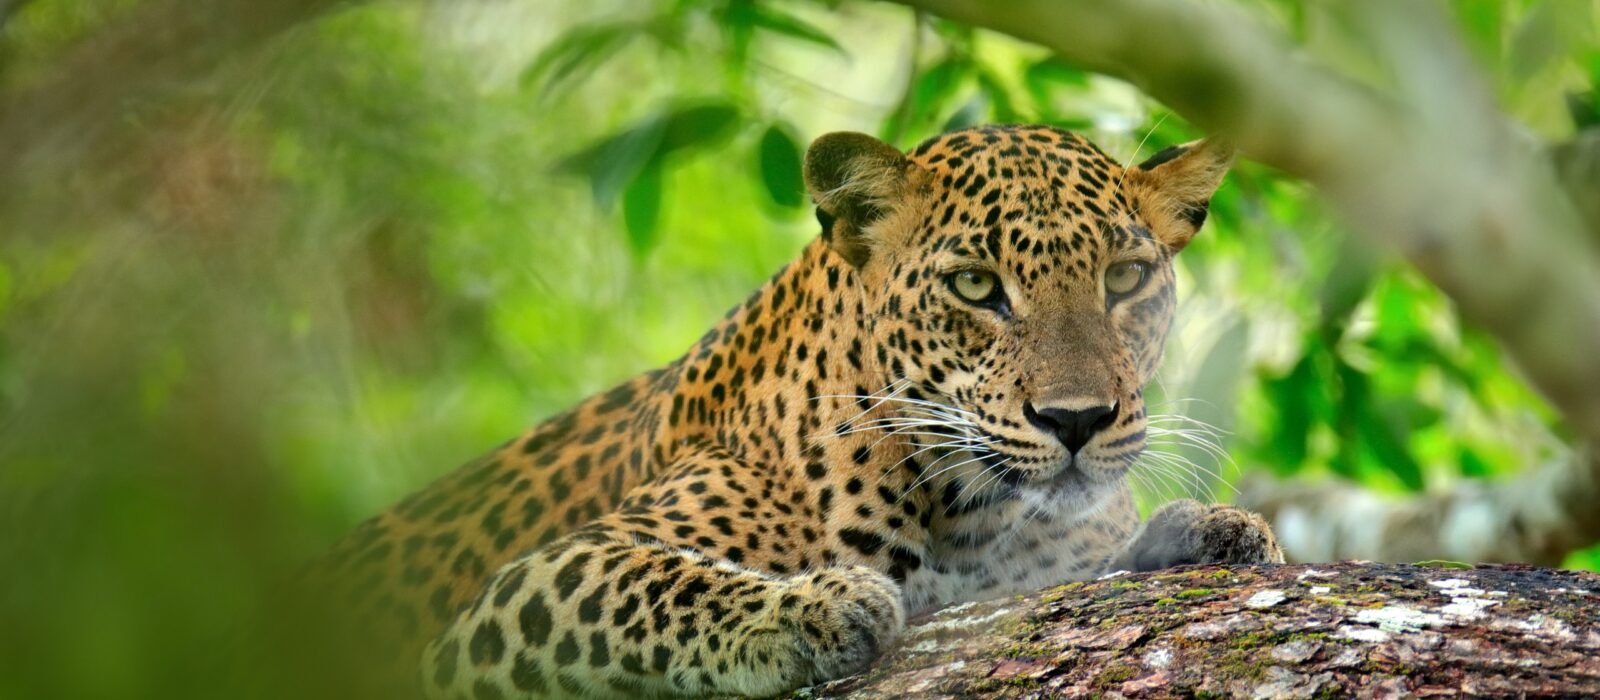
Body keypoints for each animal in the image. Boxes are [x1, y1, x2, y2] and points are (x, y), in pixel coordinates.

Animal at [312, 123, 1286, 696]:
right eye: (977, 286)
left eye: (1124, 278)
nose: (1078, 420)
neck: (969, 514)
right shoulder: (519, 595)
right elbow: (642, 582)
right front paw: (805, 611)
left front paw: (1209, 530)